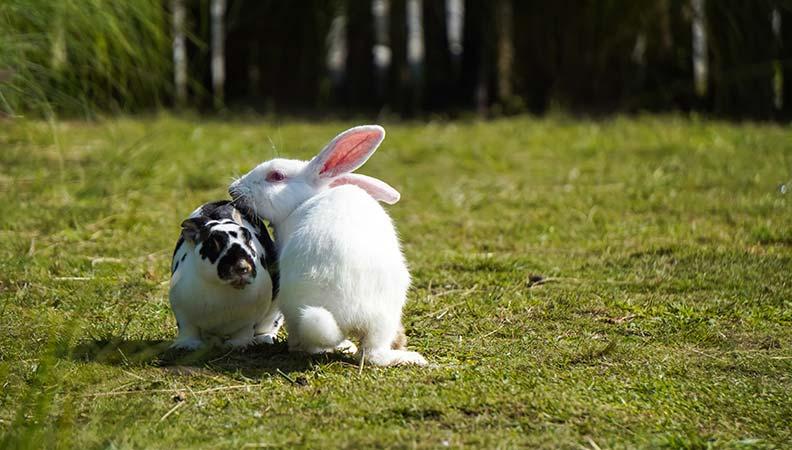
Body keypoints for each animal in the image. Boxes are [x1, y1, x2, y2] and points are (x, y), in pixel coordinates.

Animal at [169, 200, 282, 350]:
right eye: (213, 244)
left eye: (248, 240)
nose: (242, 267)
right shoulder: (182, 314)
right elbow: (188, 330)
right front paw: (188, 345)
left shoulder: (249, 320)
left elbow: (244, 331)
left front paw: (238, 345)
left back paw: (264, 338)